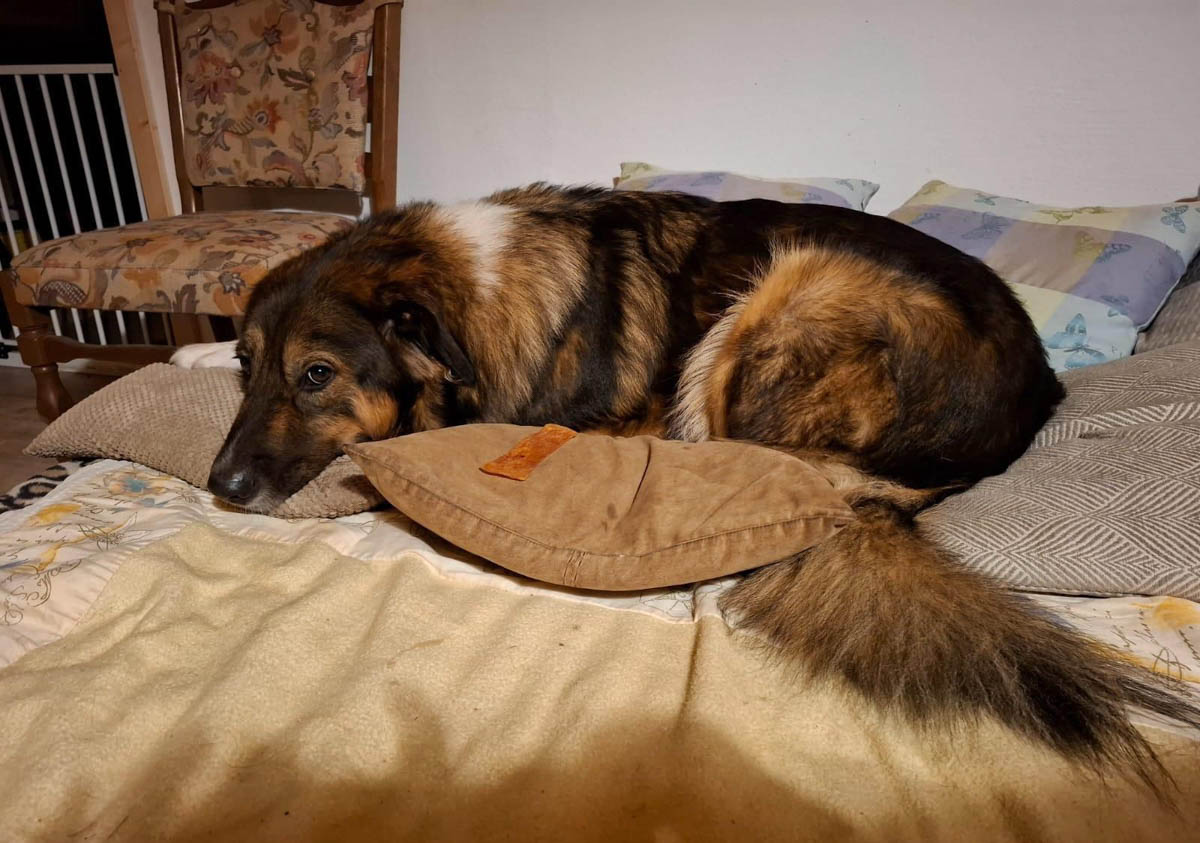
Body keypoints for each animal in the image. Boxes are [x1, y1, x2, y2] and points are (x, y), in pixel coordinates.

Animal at [192, 183, 1199, 791]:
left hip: (787, 286)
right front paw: (191, 355)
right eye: (247, 365)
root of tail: (1029, 400)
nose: (220, 486)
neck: (468, 300)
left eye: (316, 375)